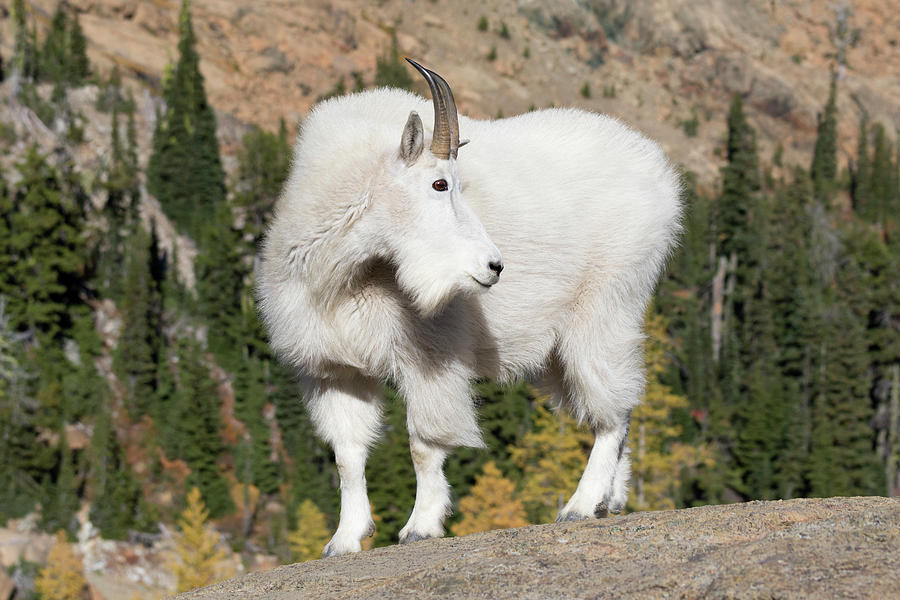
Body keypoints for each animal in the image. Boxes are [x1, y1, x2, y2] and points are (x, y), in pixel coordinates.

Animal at [258, 59, 684, 556]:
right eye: (440, 183)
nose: (494, 266)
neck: (344, 274)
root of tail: (659, 171)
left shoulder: (430, 358)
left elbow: (423, 443)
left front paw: (421, 525)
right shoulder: (335, 370)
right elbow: (348, 456)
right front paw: (344, 540)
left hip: (604, 310)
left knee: (612, 408)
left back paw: (581, 503)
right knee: (621, 405)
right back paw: (611, 500)